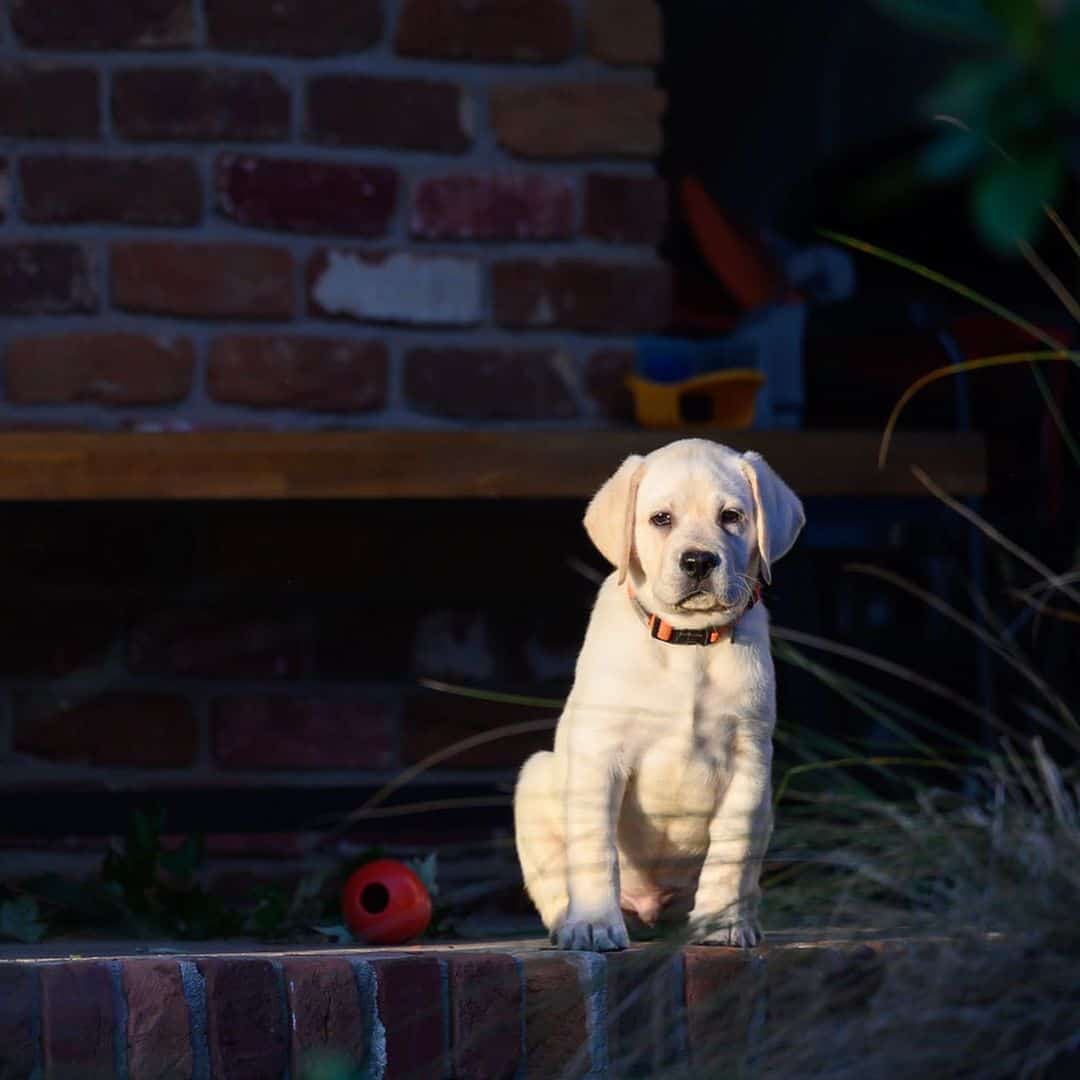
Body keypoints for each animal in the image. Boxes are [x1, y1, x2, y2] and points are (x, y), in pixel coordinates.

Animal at [511, 434, 803, 950]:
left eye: (732, 516)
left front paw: (722, 925)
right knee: (554, 886)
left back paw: (743, 919)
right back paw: (572, 923)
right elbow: (595, 849)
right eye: (661, 519)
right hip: (536, 779)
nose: (699, 560)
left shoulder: (749, 760)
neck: (689, 642)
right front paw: (593, 924)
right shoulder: (599, 753)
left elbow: (731, 849)